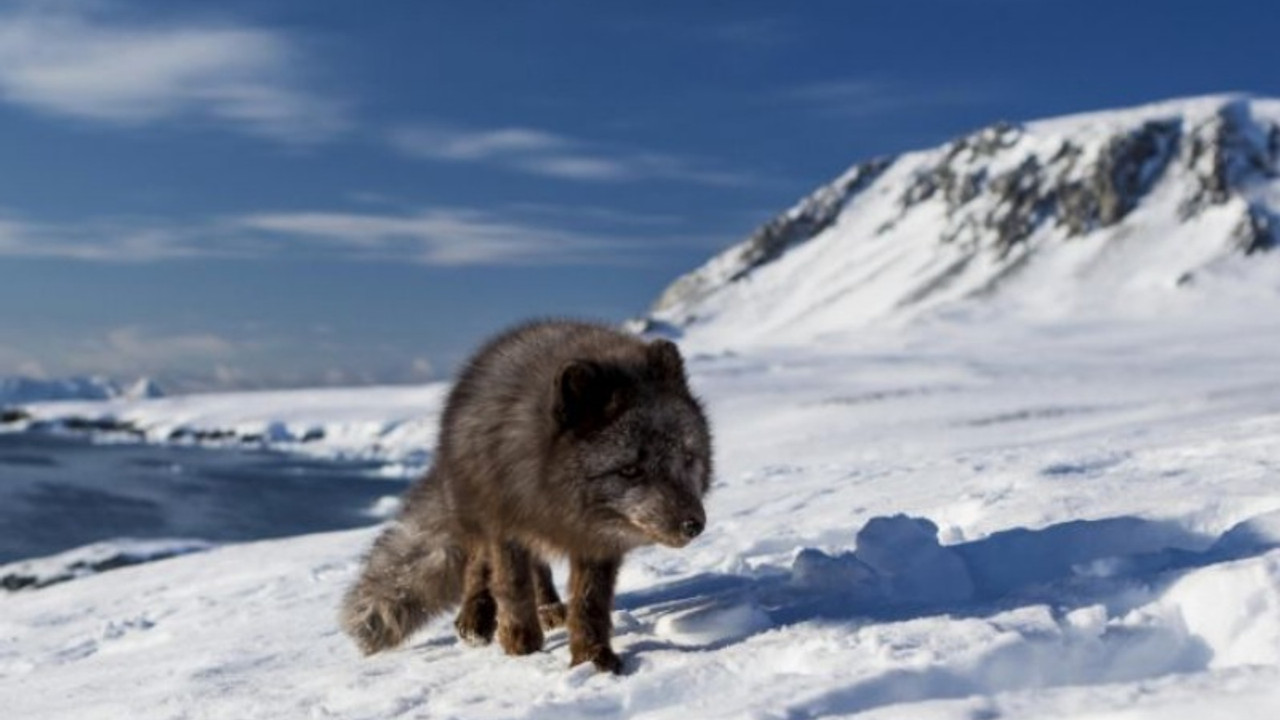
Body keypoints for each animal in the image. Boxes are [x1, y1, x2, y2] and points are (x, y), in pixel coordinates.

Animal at [340, 317, 716, 666]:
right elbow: (511, 586)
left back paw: (548, 609)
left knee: (539, 570)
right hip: (478, 510)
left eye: (687, 457)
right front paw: (521, 646)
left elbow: (590, 602)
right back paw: (475, 619)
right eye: (630, 470)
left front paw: (592, 657)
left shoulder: (596, 541)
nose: (693, 525)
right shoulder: (505, 522)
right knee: (478, 565)